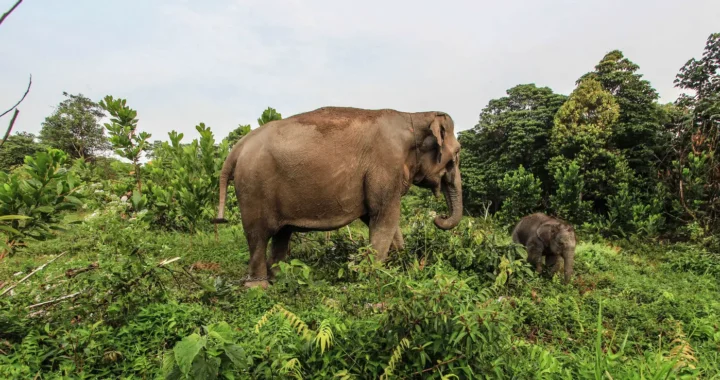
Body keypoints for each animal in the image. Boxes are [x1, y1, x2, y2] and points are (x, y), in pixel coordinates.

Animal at [214, 105, 464, 286]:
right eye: (458, 152)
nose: (439, 217)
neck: (413, 116)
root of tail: (238, 147)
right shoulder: (386, 164)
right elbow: (384, 215)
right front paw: (372, 275)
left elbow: (376, 217)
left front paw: (398, 266)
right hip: (253, 187)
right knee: (257, 235)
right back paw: (258, 287)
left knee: (281, 235)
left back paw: (281, 279)